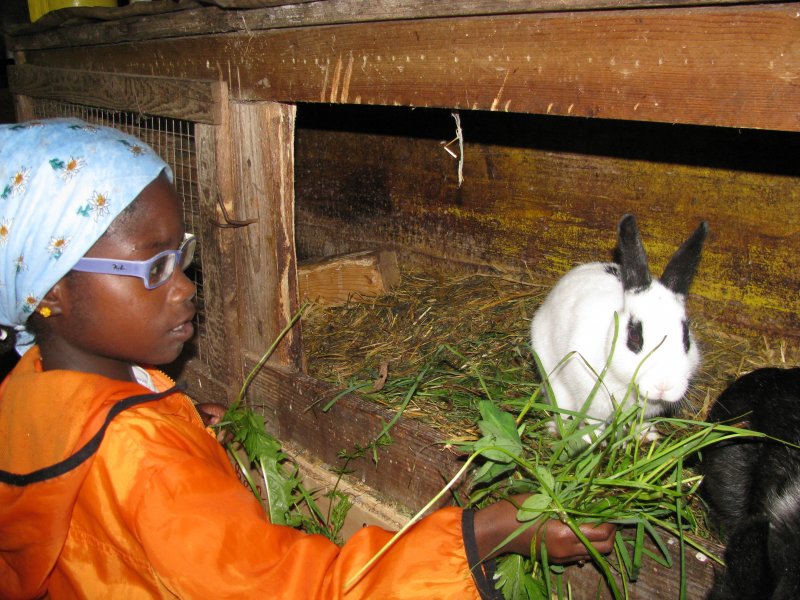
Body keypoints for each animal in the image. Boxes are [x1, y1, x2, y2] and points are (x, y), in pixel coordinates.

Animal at [532, 216, 708, 432]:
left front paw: (644, 434)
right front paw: (589, 438)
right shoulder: (592, 404)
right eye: (634, 337)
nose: (664, 386)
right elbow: (593, 425)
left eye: (686, 339)